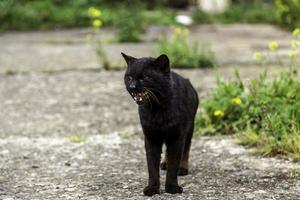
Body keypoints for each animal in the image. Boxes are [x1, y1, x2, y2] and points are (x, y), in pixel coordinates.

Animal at [122, 52, 199, 195]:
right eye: (129, 77)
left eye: (146, 77)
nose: (132, 86)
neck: (156, 109)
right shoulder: (151, 137)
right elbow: (152, 166)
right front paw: (152, 188)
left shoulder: (177, 137)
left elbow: (174, 162)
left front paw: (172, 188)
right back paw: (164, 164)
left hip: (190, 128)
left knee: (186, 149)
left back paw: (183, 168)